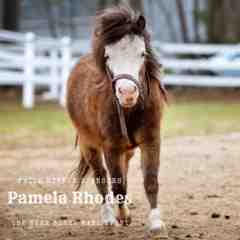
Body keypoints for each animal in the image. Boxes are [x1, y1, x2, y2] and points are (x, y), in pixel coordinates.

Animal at [66, 5, 168, 238]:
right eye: (108, 56)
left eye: (142, 53)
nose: (127, 92)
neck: (131, 110)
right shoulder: (110, 147)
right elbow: (117, 184)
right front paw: (121, 216)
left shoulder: (151, 141)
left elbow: (150, 181)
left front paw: (156, 223)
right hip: (89, 144)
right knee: (101, 177)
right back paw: (109, 218)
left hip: (126, 149)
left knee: (125, 170)